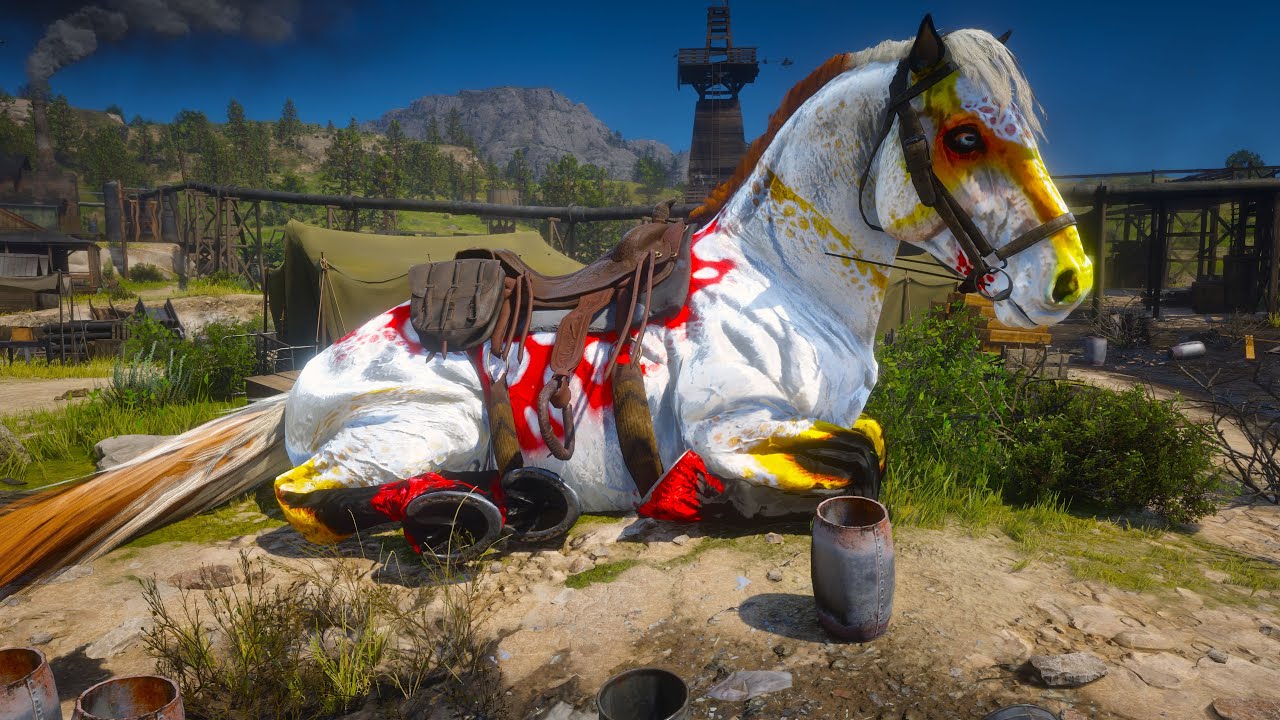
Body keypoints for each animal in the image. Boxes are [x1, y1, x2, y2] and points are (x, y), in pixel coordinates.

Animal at [0, 16, 1092, 591]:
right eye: (961, 136)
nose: (1070, 281)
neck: (786, 284)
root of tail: (304, 380)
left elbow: (869, 442)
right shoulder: (741, 425)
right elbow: (857, 455)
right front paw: (703, 495)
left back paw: (516, 496)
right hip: (412, 427)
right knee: (307, 496)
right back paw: (465, 512)